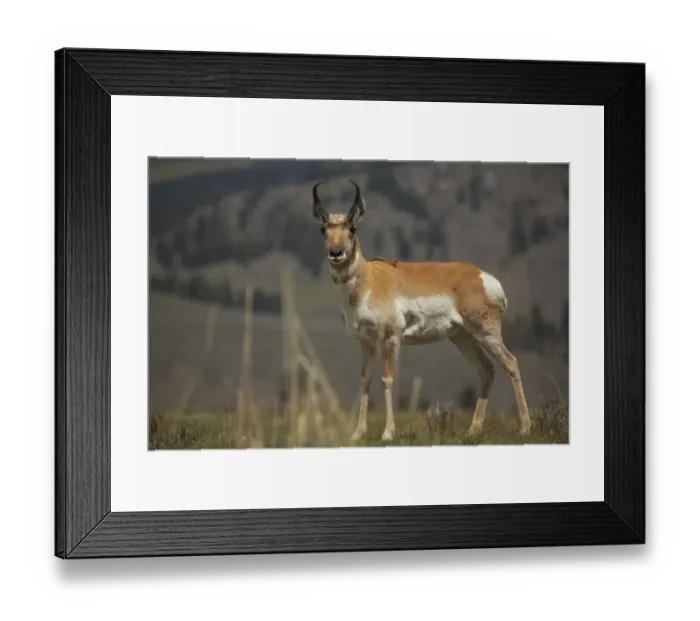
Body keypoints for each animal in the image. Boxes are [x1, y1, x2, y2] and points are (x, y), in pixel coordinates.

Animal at [312, 180, 532, 442]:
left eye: (352, 228)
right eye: (323, 229)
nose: (336, 252)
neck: (369, 280)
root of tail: (482, 277)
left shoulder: (391, 338)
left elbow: (387, 380)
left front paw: (388, 432)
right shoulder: (366, 342)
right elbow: (365, 381)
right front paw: (357, 433)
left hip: (486, 334)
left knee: (511, 363)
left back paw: (525, 427)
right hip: (463, 338)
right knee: (487, 370)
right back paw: (473, 430)